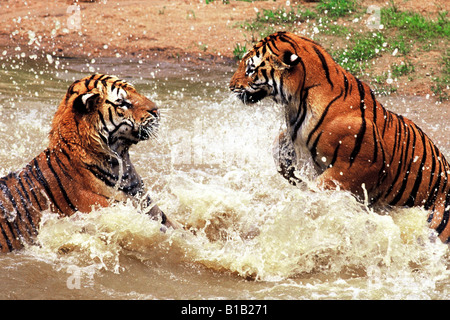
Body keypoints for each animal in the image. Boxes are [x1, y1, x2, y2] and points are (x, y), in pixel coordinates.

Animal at [230, 31, 450, 242]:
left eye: (250, 69)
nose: (231, 86)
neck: (297, 102)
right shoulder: (293, 138)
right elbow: (279, 147)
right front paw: (294, 178)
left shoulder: (362, 164)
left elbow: (321, 188)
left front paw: (307, 206)